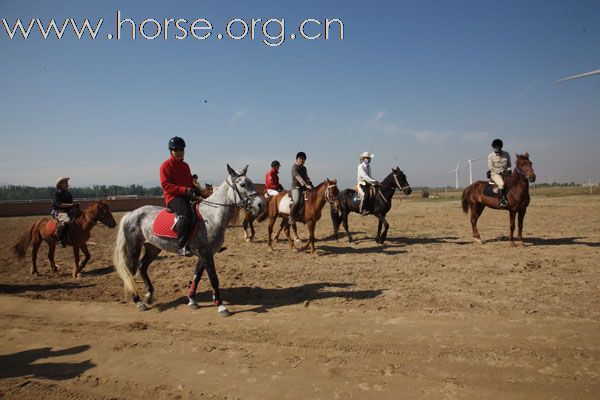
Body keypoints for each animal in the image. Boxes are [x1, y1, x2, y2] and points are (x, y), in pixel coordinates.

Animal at [112, 165, 262, 316]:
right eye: (242, 184)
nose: (260, 204)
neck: (211, 216)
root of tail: (131, 214)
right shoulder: (206, 254)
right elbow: (214, 279)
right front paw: (221, 306)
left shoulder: (204, 255)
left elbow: (197, 276)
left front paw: (192, 300)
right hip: (134, 247)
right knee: (130, 271)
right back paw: (138, 301)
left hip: (153, 248)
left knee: (142, 266)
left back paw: (149, 295)